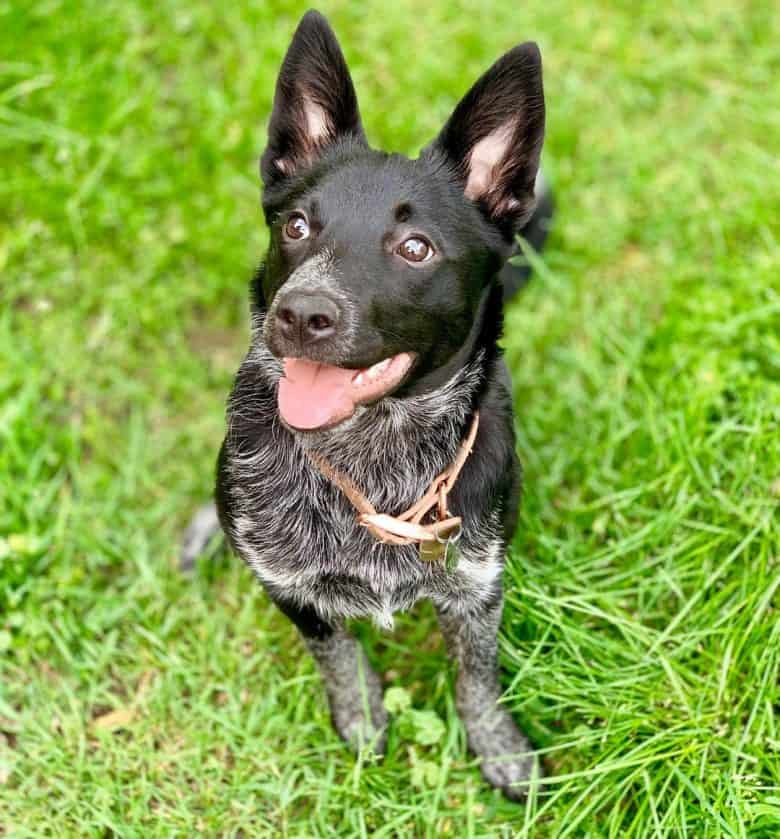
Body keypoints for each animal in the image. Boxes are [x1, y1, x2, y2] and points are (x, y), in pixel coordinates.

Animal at [184, 11, 552, 800]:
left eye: (414, 247)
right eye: (296, 226)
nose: (300, 313)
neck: (373, 456)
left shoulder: (478, 586)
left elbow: (477, 675)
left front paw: (498, 747)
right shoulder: (290, 587)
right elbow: (339, 654)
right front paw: (360, 718)